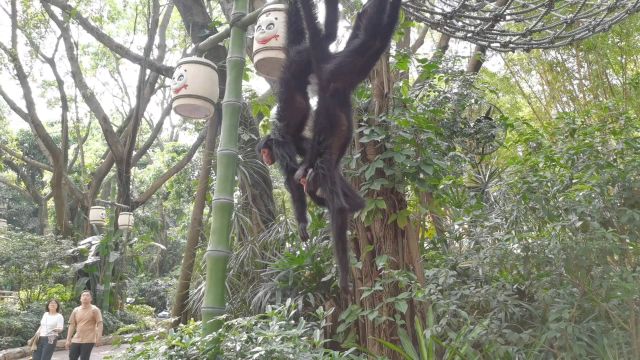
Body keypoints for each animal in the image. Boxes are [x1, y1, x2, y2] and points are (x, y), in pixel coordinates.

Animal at [258, 0, 362, 242]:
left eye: (265, 151)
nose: (265, 158)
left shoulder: (281, 146)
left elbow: (291, 177)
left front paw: (302, 222)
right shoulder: (298, 141)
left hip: (299, 60)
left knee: (327, 37)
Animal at [296, 0, 400, 292]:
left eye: (308, 181)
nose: (306, 184)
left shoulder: (324, 171)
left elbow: (340, 209)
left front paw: (343, 280)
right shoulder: (332, 173)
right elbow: (356, 204)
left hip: (337, 73)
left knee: (371, 40)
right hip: (343, 74)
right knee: (374, 39)